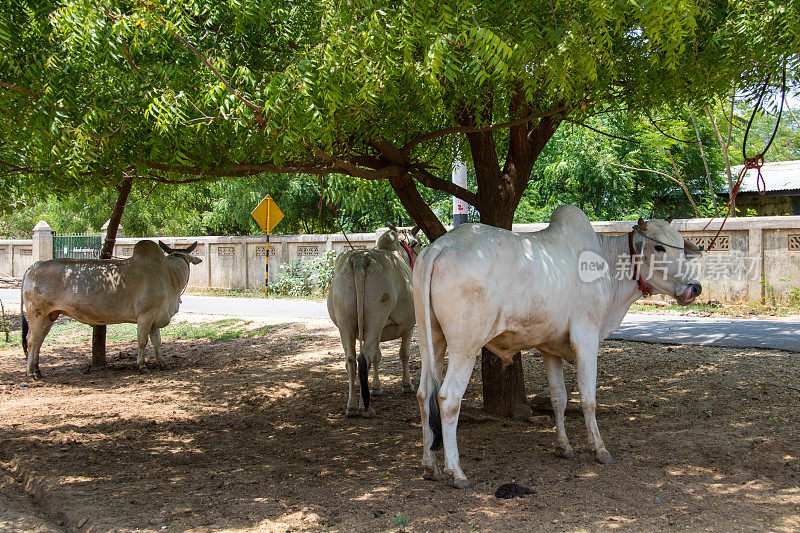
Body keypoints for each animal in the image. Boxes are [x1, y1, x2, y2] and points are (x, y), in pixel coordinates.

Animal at [21, 239, 202, 376]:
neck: (168, 273)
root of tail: (34, 266)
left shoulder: (155, 317)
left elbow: (157, 342)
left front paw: (163, 363)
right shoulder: (145, 315)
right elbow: (142, 342)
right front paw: (142, 366)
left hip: (49, 316)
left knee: (39, 341)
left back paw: (37, 370)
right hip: (37, 315)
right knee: (32, 340)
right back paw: (31, 372)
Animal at [326, 222, 422, 418]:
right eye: (419, 243)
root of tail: (360, 258)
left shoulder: (378, 330)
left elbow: (379, 357)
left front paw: (375, 388)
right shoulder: (409, 326)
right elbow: (404, 354)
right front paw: (407, 385)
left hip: (346, 323)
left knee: (351, 360)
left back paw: (351, 406)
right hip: (376, 320)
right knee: (366, 358)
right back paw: (365, 407)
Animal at [412, 206, 700, 488]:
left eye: (680, 246)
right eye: (659, 247)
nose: (694, 287)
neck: (607, 262)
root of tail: (441, 245)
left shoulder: (550, 348)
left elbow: (558, 398)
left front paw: (564, 447)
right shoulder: (586, 337)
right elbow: (588, 399)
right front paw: (600, 449)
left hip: (431, 340)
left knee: (424, 394)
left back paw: (430, 466)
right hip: (465, 346)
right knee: (448, 398)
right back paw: (456, 472)